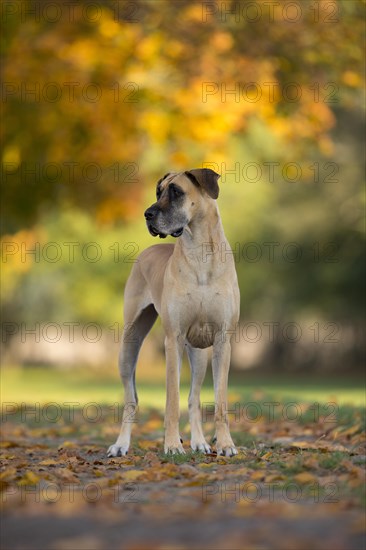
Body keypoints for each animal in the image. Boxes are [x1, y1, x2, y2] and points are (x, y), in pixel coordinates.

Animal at [106, 170, 240, 460]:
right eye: (158, 192)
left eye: (176, 192)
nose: (147, 214)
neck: (200, 250)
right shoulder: (173, 339)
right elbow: (171, 401)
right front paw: (171, 445)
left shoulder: (223, 340)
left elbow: (220, 402)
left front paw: (225, 444)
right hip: (129, 346)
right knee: (131, 399)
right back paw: (121, 444)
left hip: (199, 355)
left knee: (193, 397)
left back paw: (199, 442)